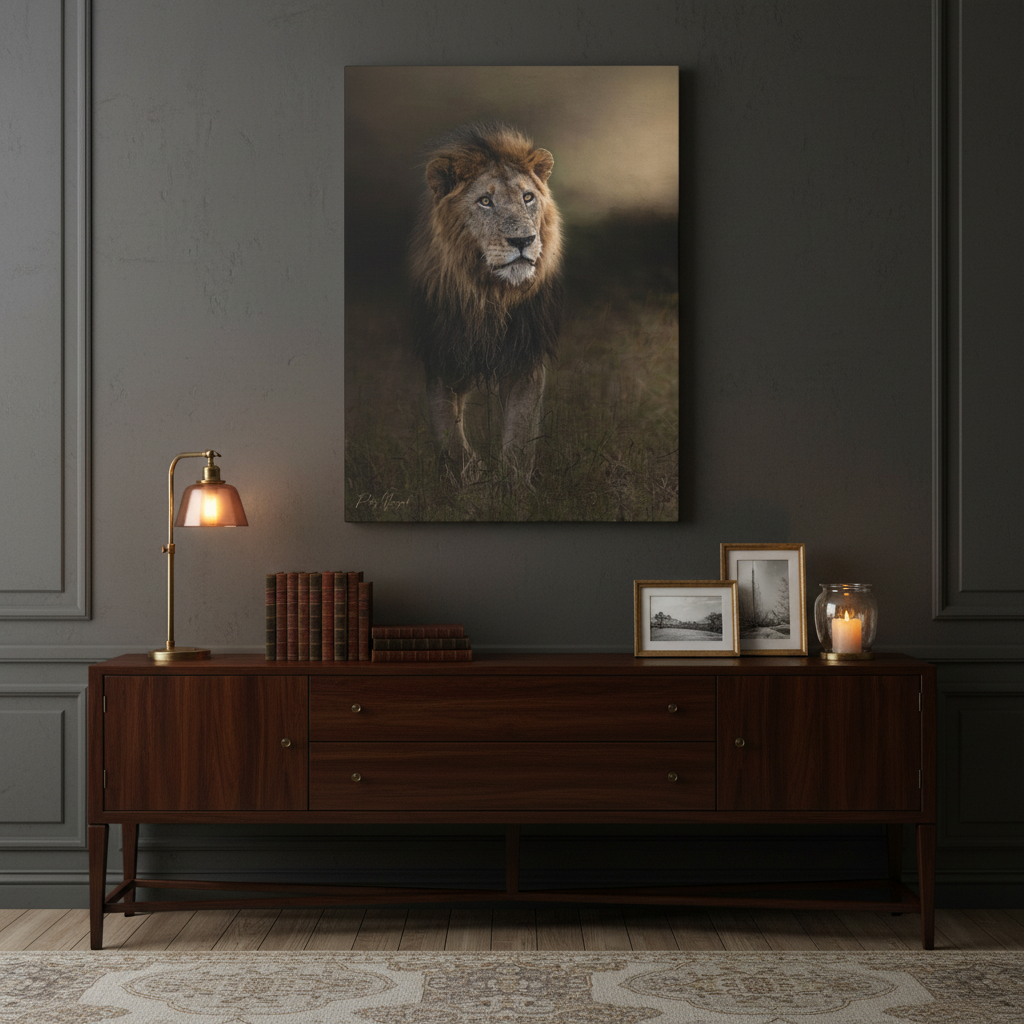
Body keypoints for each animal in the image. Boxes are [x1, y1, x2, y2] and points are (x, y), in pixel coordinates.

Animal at [409, 121, 563, 486]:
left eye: (528, 197)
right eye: (485, 201)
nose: (523, 240)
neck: (490, 295)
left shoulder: (525, 363)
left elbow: (520, 438)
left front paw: (512, 489)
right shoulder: (441, 362)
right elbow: (450, 437)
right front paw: (472, 479)